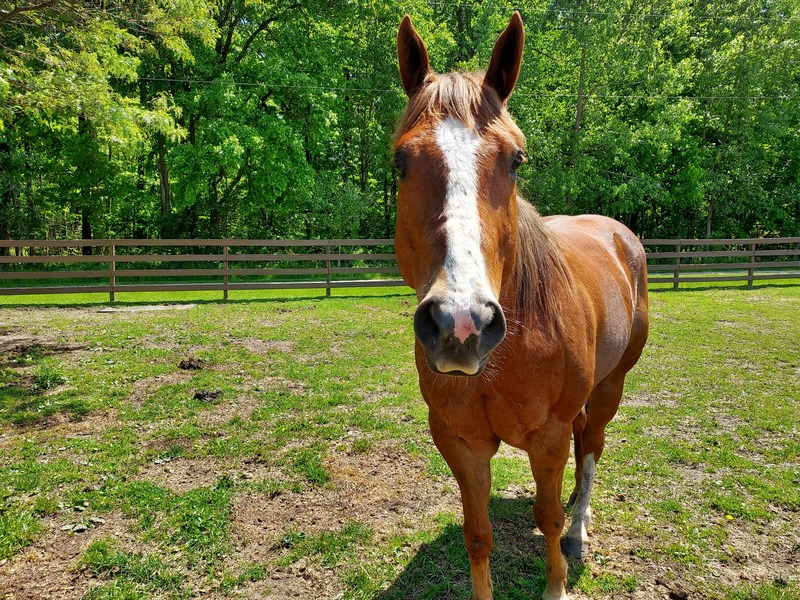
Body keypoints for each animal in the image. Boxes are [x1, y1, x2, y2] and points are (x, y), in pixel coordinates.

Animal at [392, 10, 648, 600]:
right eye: (399, 163)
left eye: (515, 159)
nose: (460, 323)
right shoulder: (460, 443)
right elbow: (478, 535)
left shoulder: (547, 438)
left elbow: (548, 517)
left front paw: (557, 579)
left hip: (611, 384)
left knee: (592, 445)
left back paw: (580, 526)